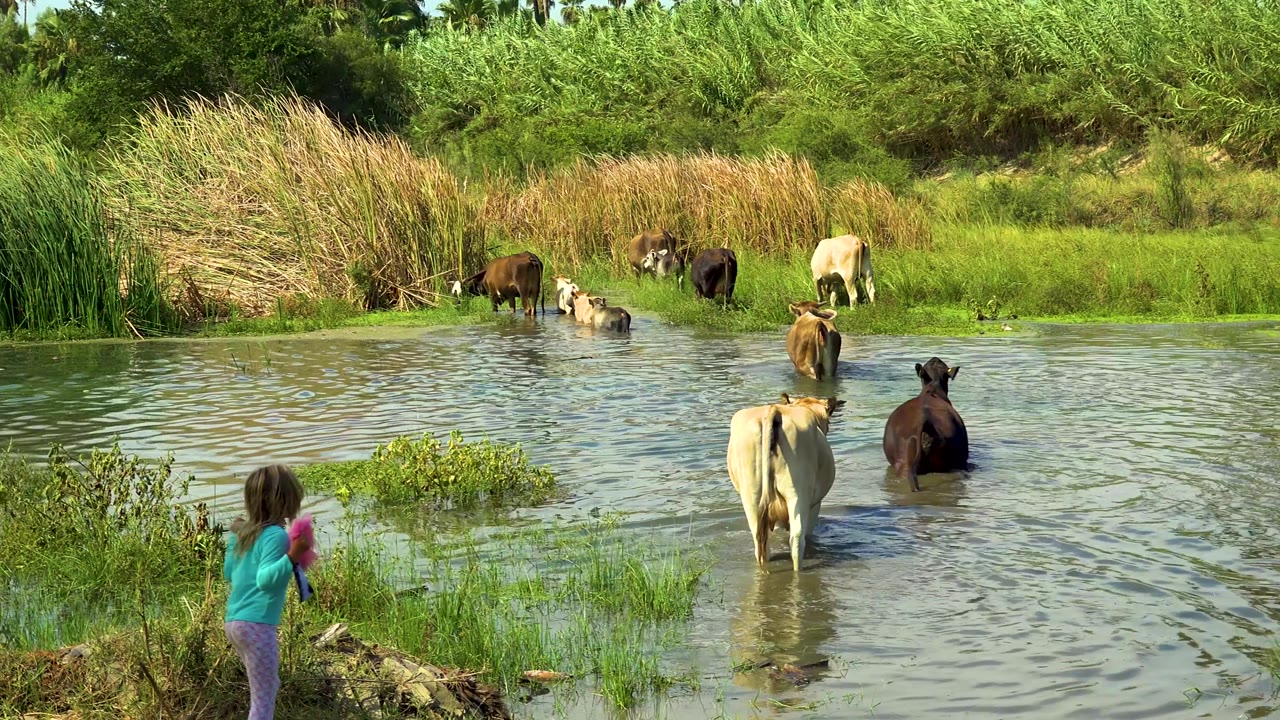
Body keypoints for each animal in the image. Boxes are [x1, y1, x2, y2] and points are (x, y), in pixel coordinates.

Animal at [726, 393, 845, 573]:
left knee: (760, 542)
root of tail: (773, 410)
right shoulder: (815, 505)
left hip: (751, 494)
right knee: (796, 539)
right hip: (797, 491)